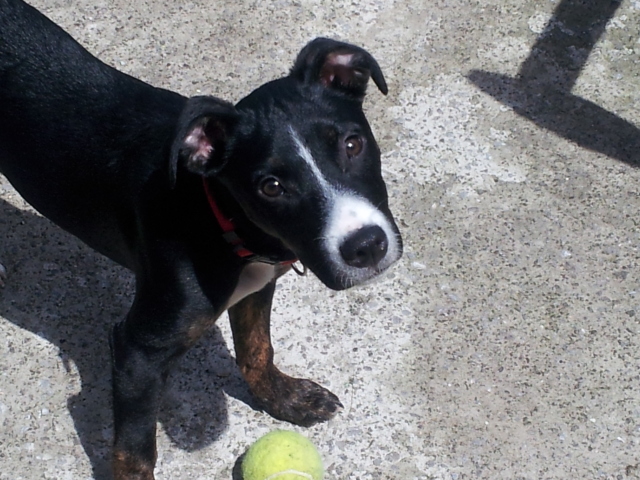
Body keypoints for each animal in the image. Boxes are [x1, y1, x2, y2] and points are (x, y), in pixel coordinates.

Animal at [0, 0, 400, 476]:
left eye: (353, 144)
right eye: (271, 187)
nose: (367, 246)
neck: (215, 214)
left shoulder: (258, 285)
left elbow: (256, 349)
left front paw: (286, 400)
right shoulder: (137, 352)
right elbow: (134, 450)